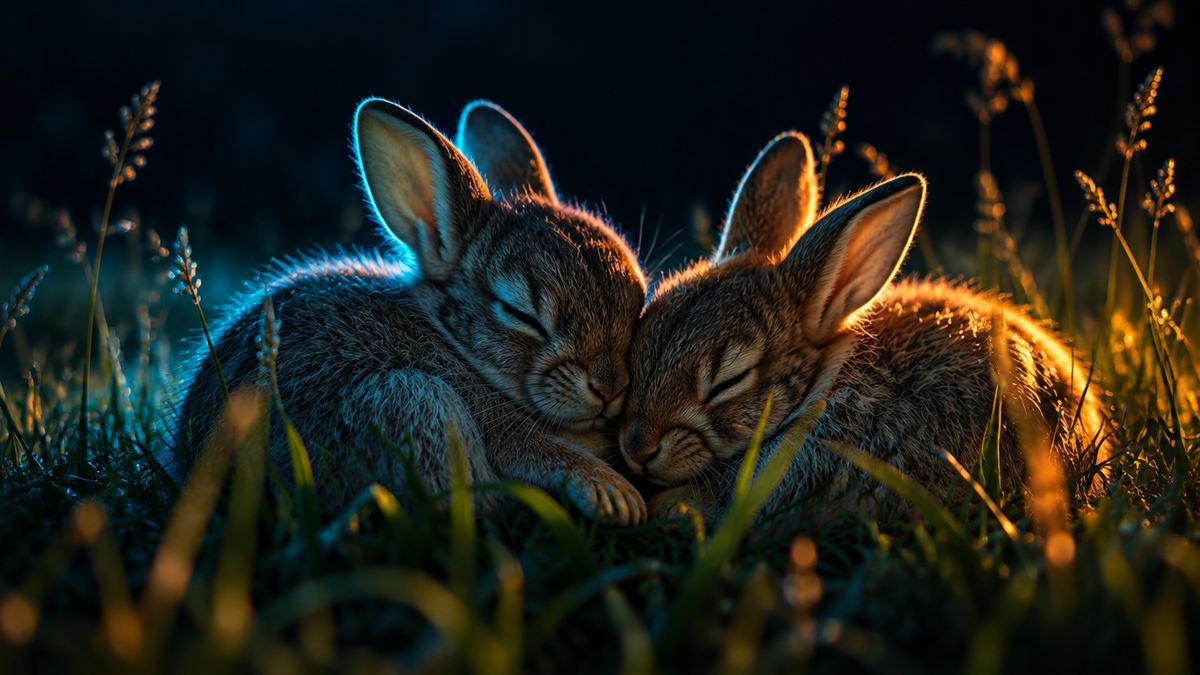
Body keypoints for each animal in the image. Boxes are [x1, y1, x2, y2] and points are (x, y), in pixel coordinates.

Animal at [164, 98, 649, 525]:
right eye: (520, 314)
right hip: (412, 398)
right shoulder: (482, 410)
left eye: (637, 301)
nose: (609, 388)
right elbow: (531, 448)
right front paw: (614, 495)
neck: (456, 345)